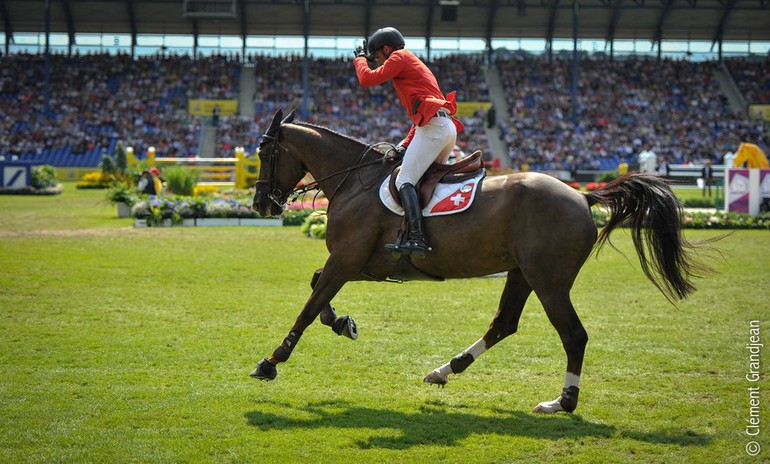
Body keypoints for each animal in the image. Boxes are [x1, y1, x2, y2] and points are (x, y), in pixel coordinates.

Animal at [249, 109, 712, 414]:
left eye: (263, 153)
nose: (260, 205)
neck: (354, 180)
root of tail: (582, 196)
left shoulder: (346, 261)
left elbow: (308, 307)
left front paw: (271, 362)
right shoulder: (361, 265)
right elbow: (316, 289)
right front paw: (343, 323)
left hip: (549, 282)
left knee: (573, 335)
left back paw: (561, 402)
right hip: (522, 274)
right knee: (504, 324)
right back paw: (445, 370)